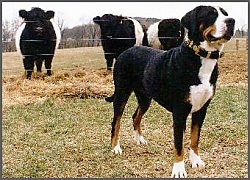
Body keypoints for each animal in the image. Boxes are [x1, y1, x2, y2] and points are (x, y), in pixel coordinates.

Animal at [106, 5, 235, 177]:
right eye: (211, 14)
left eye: (225, 14)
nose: (231, 21)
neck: (201, 59)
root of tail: (125, 52)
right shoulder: (180, 111)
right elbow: (179, 144)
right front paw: (179, 169)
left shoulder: (201, 109)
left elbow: (195, 138)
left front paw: (196, 161)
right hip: (122, 93)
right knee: (116, 121)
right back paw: (115, 147)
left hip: (145, 97)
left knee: (136, 116)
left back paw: (139, 139)